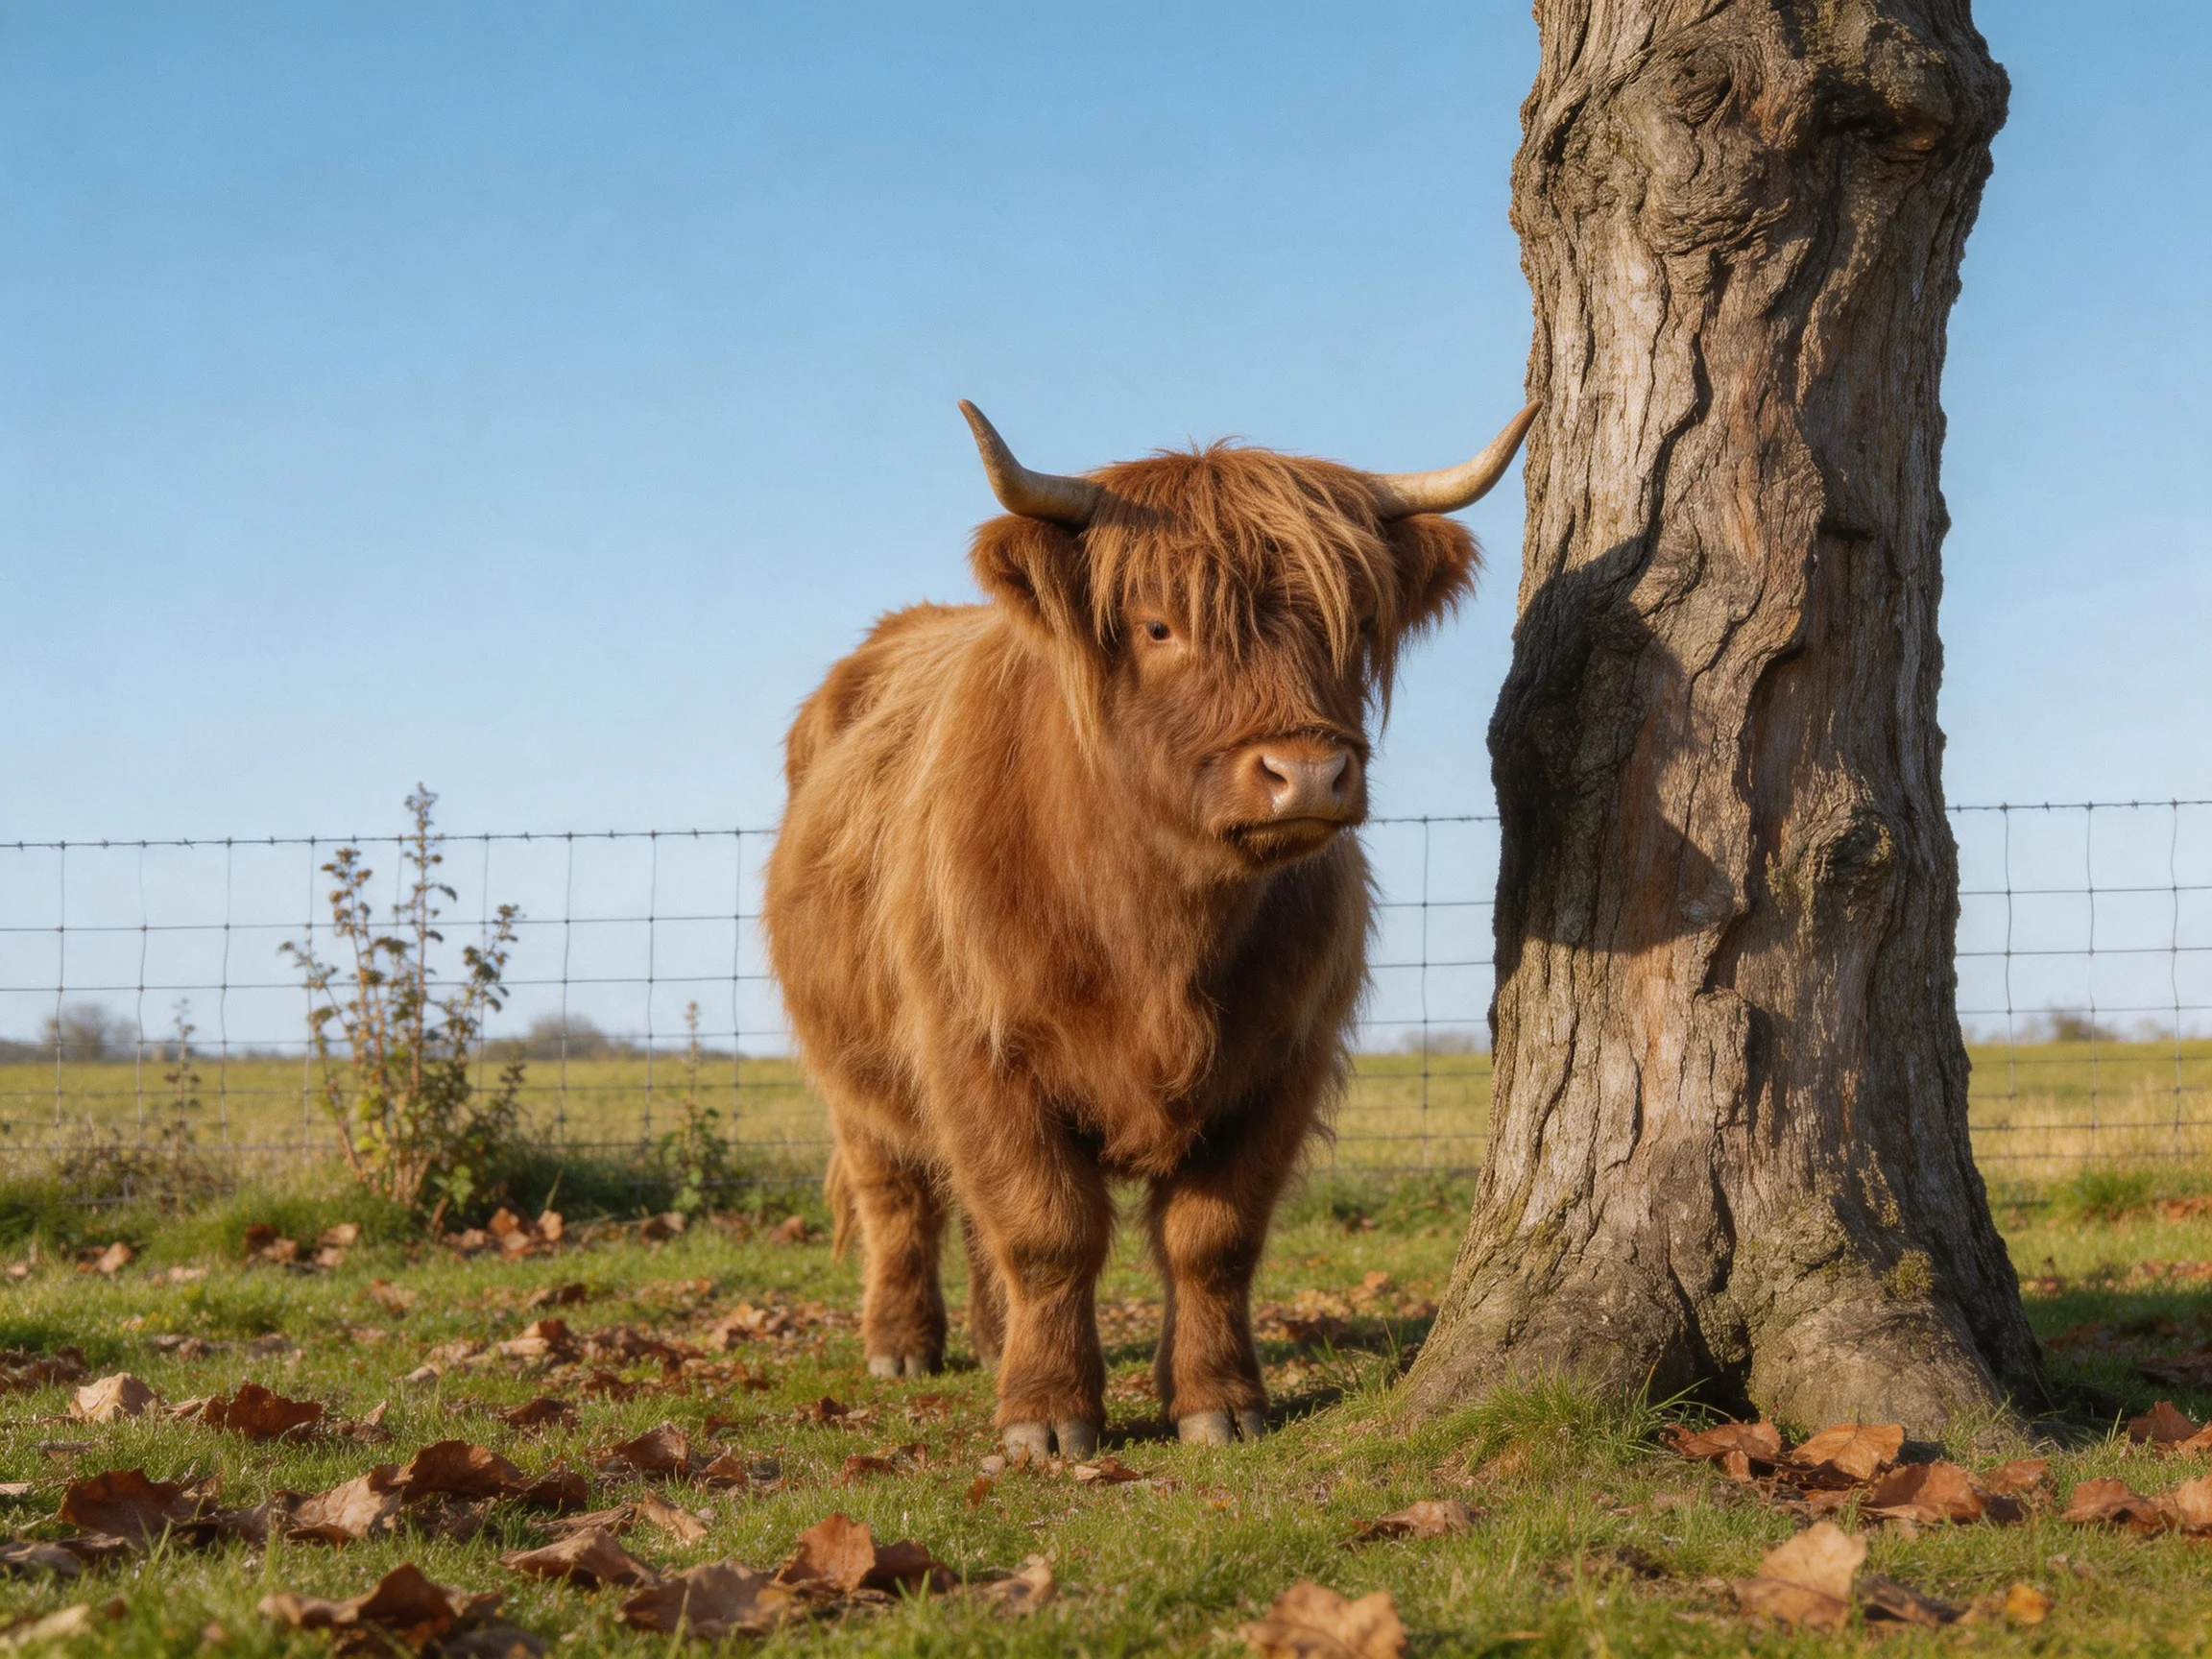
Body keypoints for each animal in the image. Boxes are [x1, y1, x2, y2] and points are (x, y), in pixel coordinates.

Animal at [762, 398, 1537, 1457]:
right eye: (1159, 625)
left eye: (1354, 620)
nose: (1307, 773)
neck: (1157, 931)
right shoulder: (977, 1049)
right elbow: (1046, 1230)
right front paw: (1047, 1415)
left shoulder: (1281, 1056)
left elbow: (1211, 1238)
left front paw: (1219, 1400)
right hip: (852, 1066)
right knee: (899, 1195)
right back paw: (903, 1344)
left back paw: (992, 1336)